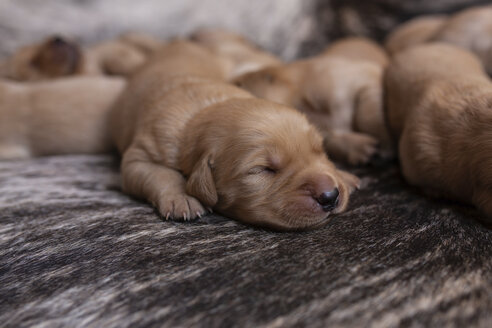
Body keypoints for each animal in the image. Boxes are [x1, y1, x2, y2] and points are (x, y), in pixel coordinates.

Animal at [109, 41, 360, 231]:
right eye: (263, 170)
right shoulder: (140, 154)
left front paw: (342, 174)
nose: (330, 195)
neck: (204, 109)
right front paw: (182, 197)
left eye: (319, 151)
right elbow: (160, 174)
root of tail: (177, 42)